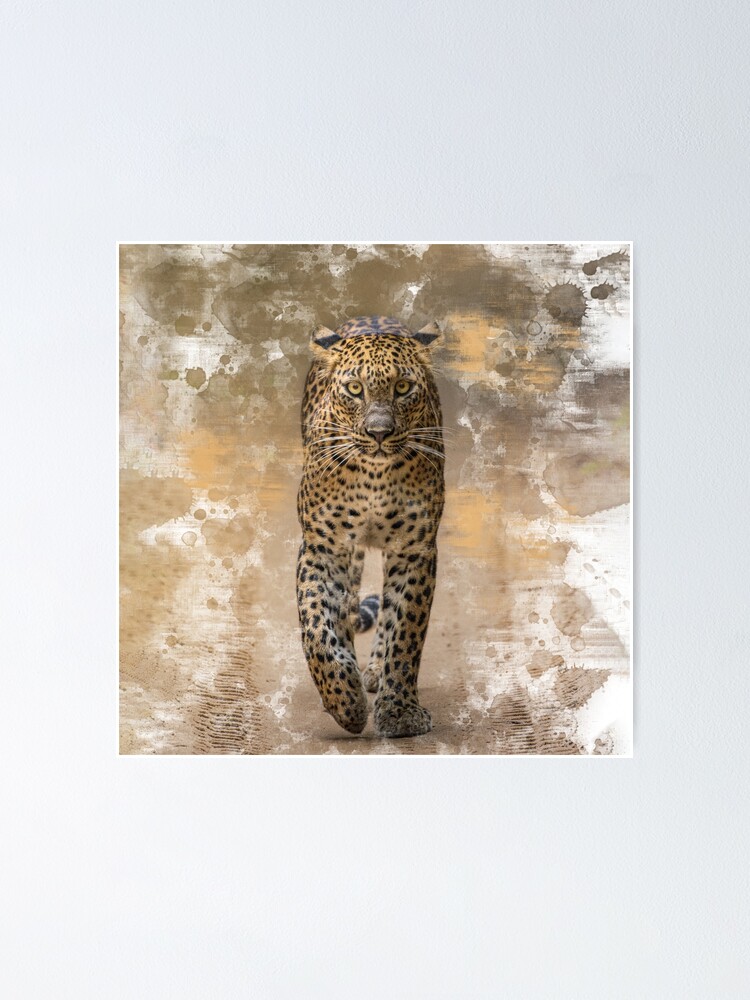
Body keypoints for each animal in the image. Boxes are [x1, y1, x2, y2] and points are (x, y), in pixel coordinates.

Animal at [296, 315, 445, 738]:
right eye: (355, 389)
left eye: (403, 387)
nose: (379, 433)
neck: (373, 477)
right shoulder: (322, 547)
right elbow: (316, 625)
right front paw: (344, 701)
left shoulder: (414, 549)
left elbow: (406, 631)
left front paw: (400, 712)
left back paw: (375, 670)